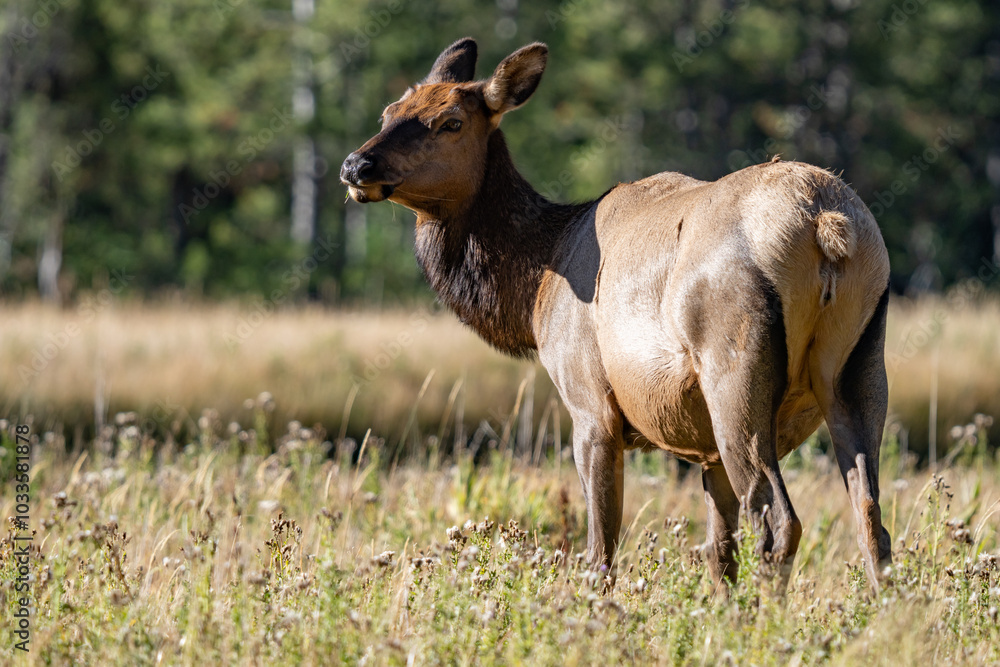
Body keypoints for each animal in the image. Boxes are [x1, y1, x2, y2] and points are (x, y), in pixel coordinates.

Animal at [340, 38, 893, 592]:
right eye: (390, 112)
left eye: (451, 121)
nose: (355, 166)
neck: (535, 290)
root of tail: (825, 223)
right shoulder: (704, 448)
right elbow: (719, 555)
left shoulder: (590, 405)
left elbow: (600, 549)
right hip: (859, 365)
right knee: (872, 519)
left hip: (734, 369)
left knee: (779, 522)